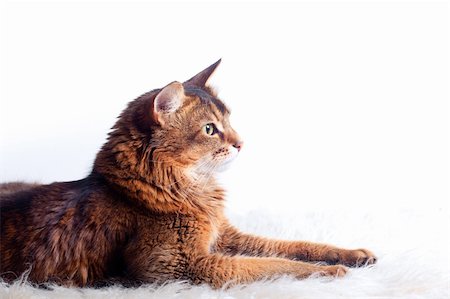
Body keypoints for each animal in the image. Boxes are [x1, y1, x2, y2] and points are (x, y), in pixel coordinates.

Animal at [0, 60, 376, 288]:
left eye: (230, 121)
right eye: (210, 129)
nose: (242, 143)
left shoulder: (224, 236)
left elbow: (292, 246)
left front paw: (351, 254)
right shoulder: (177, 266)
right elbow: (268, 265)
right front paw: (325, 272)